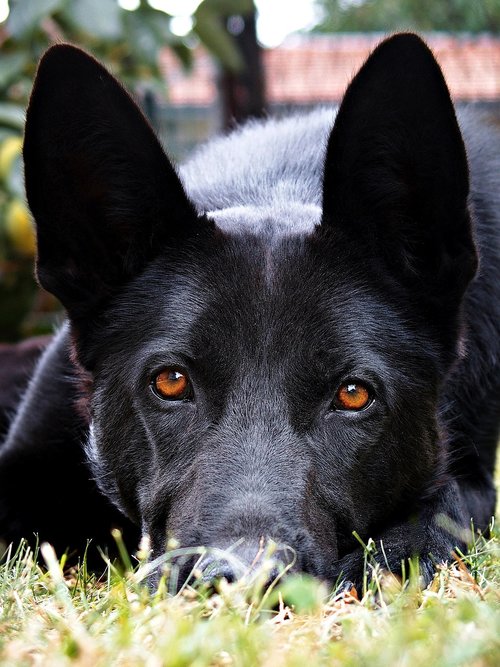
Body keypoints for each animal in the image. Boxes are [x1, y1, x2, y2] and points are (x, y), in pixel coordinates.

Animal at [0, 32, 500, 584]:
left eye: (353, 395)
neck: (274, 187)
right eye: (170, 382)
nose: (242, 579)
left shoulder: (472, 473)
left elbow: (447, 505)